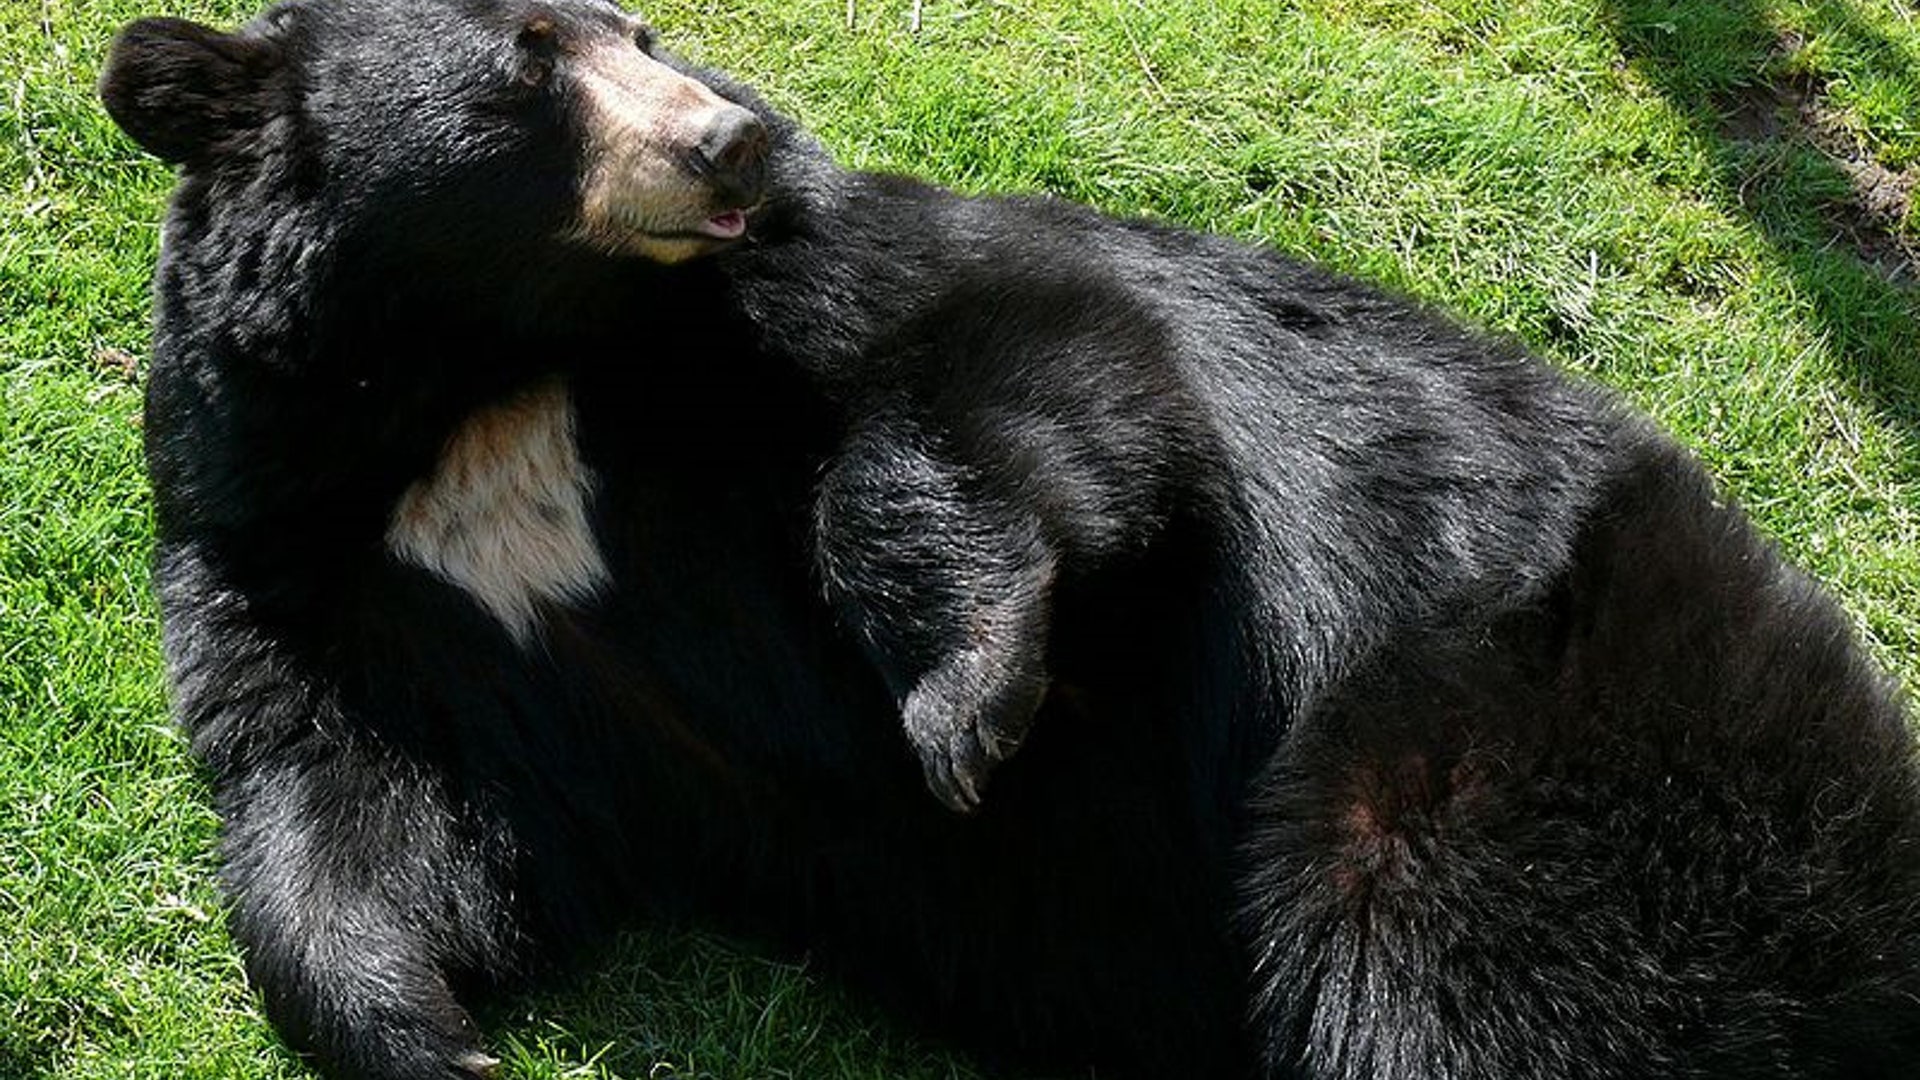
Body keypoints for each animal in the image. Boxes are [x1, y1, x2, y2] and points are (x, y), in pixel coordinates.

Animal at [99, 1, 1920, 1079]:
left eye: (645, 27)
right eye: (534, 59)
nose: (726, 136)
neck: (483, 369)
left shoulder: (808, 291)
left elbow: (1041, 369)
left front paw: (970, 707)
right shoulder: (308, 551)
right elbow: (354, 788)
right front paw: (423, 1031)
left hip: (1531, 760)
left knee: (1477, 979)